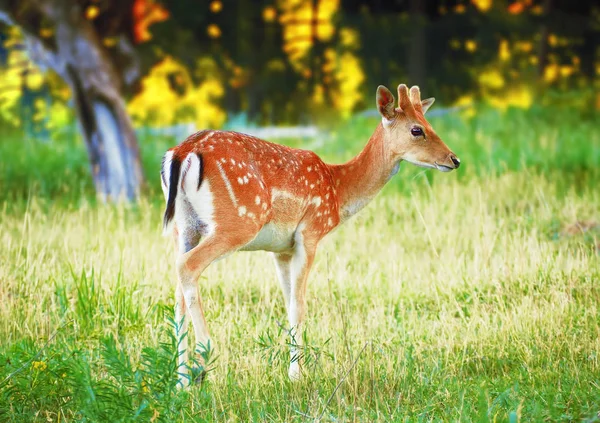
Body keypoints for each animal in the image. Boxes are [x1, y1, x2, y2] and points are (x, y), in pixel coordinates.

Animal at [159, 83, 460, 388]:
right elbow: (299, 306)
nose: (454, 159)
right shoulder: (311, 232)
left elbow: (288, 301)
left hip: (184, 227)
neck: (337, 192)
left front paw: (292, 370)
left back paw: (181, 380)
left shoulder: (280, 249)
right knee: (188, 266)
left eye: (429, 124)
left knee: (177, 290)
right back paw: (203, 360)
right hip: (237, 222)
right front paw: (296, 375)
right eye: (416, 130)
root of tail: (184, 152)